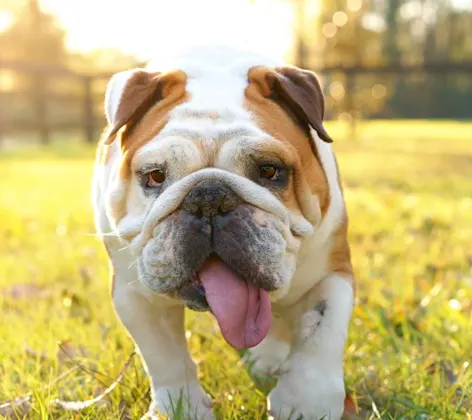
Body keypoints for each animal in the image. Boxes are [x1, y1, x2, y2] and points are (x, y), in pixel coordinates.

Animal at [92, 46, 354, 420]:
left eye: (270, 170)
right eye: (155, 176)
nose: (209, 197)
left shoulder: (331, 270)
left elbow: (323, 332)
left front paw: (306, 403)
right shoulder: (136, 296)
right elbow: (164, 357)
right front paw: (180, 408)